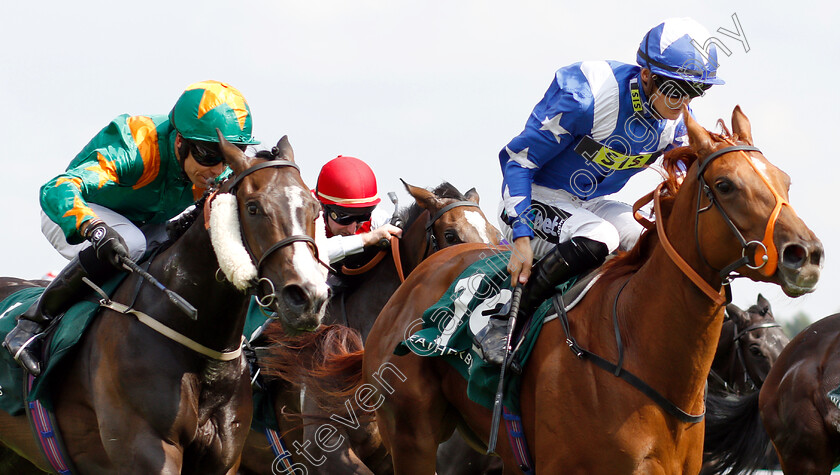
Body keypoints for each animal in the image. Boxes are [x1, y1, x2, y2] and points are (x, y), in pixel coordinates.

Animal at [0, 136, 328, 474]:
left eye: (314, 208)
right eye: (253, 207)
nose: (307, 296)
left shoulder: (225, 458)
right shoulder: (147, 449)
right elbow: (67, 185)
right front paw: (107, 241)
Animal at [358, 107, 824, 475]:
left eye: (784, 180)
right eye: (725, 184)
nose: (808, 254)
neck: (636, 350)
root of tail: (412, 283)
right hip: (412, 437)